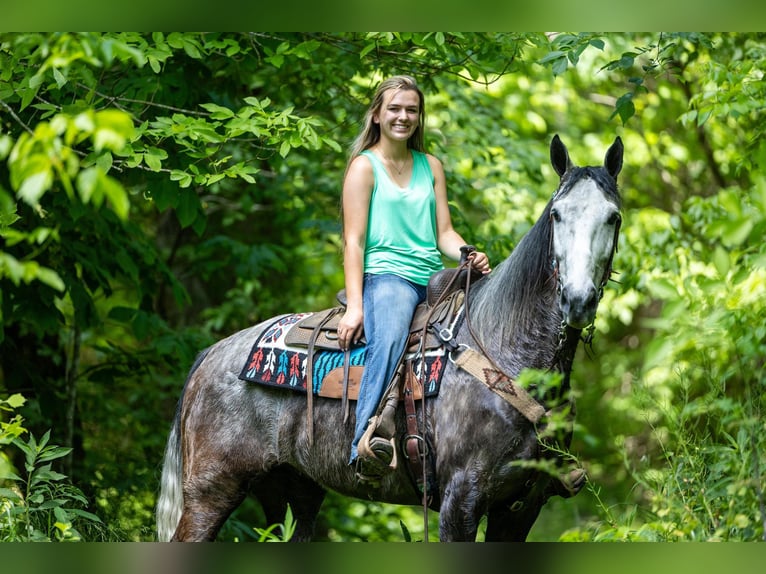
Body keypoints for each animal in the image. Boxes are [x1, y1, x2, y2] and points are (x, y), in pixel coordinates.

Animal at [156, 134, 624, 542]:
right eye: (557, 214)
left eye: (613, 217)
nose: (577, 300)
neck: (506, 351)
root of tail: (212, 355)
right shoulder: (460, 501)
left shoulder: (520, 509)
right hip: (211, 492)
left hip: (292, 492)